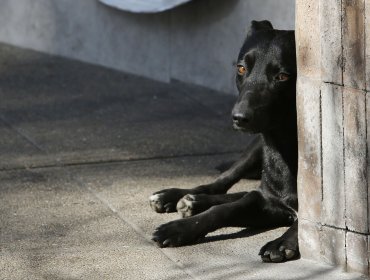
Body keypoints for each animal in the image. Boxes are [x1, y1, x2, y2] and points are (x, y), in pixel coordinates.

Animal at [149, 21, 300, 262]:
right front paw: (179, 228)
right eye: (241, 69)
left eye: (283, 76)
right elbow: (223, 210)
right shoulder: (266, 202)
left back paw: (192, 201)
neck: (286, 145)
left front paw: (282, 242)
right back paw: (180, 197)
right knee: (224, 182)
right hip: (254, 148)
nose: (239, 117)